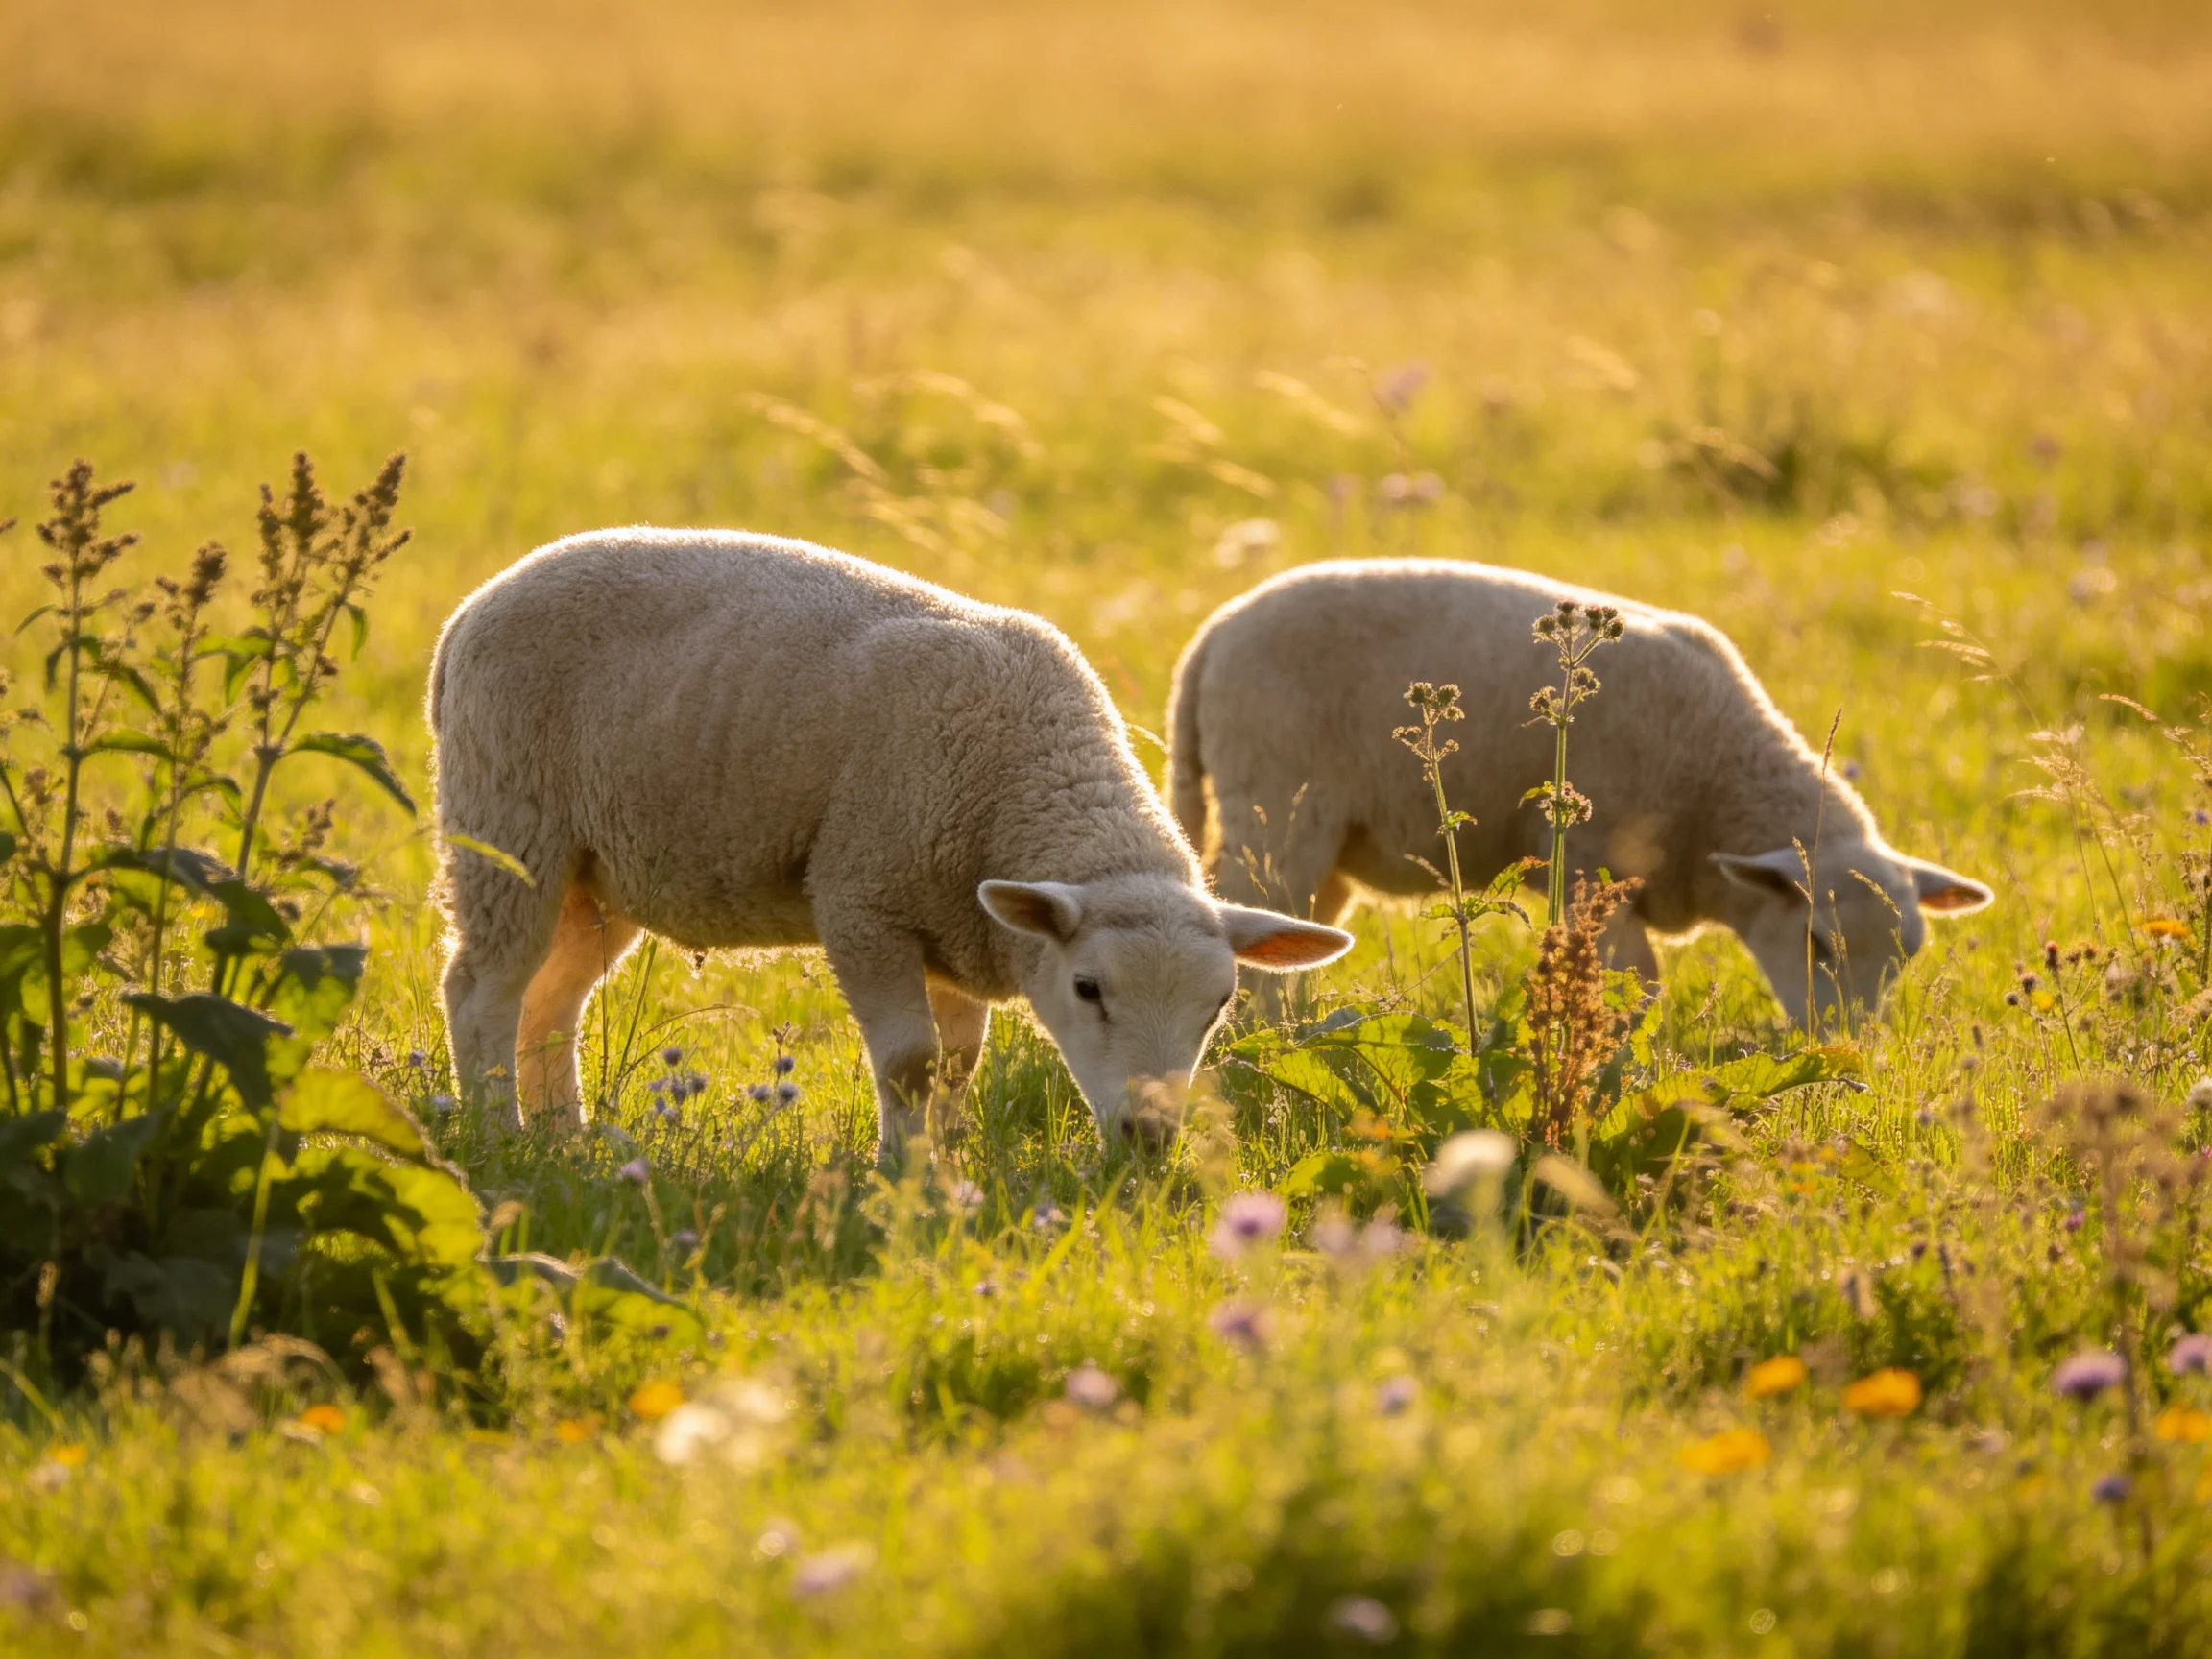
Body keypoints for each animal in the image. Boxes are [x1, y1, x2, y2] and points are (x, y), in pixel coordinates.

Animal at [428, 528, 1351, 1160]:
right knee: (482, 992)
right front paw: (898, 1177)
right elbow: (910, 1060)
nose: (1151, 1138)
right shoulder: (863, 898)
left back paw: (565, 1140)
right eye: (1088, 989)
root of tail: (471, 609)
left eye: (1221, 1005)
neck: (1023, 774)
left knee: (552, 1005)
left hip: (598, 870)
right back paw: (499, 1136)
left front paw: (942, 1162)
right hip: (508, 827)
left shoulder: (960, 924)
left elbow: (958, 1064)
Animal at [1167, 559, 1992, 1028]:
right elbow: (1638, 983)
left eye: (1908, 957)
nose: (1846, 1048)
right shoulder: (1591, 862)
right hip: (1277, 806)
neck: (1716, 786)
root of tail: (1210, 635)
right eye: (1818, 943)